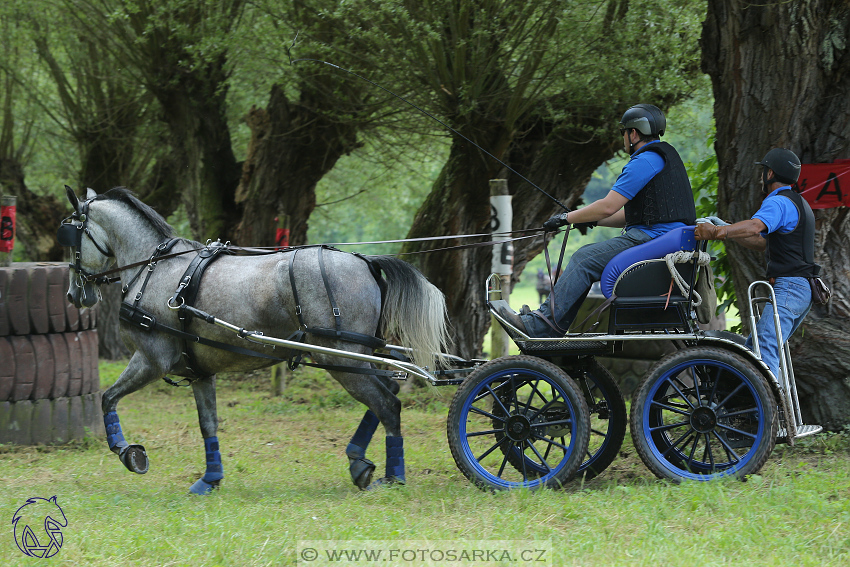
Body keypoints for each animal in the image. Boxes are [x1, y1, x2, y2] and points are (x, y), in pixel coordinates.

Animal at [61, 189, 450, 494]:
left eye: (70, 236)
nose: (74, 295)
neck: (155, 269)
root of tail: (364, 260)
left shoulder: (151, 360)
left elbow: (108, 398)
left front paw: (129, 454)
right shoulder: (199, 372)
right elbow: (208, 424)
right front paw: (210, 479)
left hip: (342, 359)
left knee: (388, 404)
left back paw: (392, 476)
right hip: (356, 356)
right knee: (388, 393)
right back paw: (359, 461)